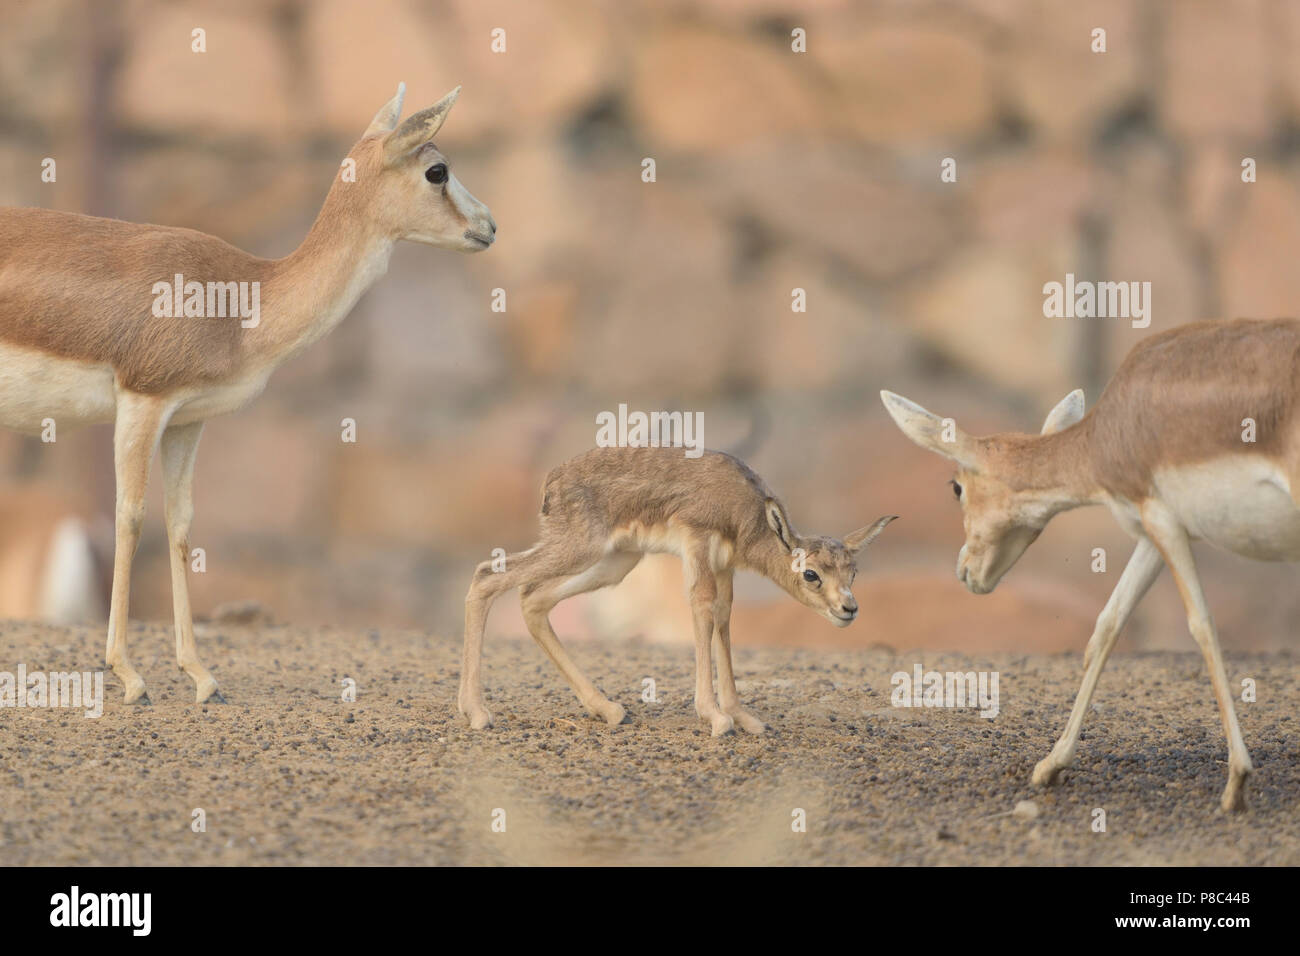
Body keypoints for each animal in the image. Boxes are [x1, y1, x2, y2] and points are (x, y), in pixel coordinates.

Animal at [0, 82, 496, 704]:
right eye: (437, 170)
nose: (490, 226)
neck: (243, 301)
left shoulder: (186, 420)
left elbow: (181, 523)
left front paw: (201, 675)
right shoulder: (142, 402)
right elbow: (130, 517)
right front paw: (130, 676)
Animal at [459, 445, 896, 735]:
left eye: (853, 571)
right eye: (810, 574)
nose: (849, 609)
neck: (745, 508)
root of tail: (552, 482)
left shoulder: (724, 568)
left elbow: (723, 620)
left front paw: (742, 715)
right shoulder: (697, 547)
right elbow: (702, 609)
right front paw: (715, 717)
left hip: (614, 563)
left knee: (532, 599)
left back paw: (608, 709)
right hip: (579, 550)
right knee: (486, 576)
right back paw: (477, 713)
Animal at [880, 317, 1300, 811]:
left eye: (956, 487)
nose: (965, 571)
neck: (1106, 433)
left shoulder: (1161, 518)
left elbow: (1202, 626)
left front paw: (1236, 783)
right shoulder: (1152, 532)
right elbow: (1106, 625)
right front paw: (1050, 765)